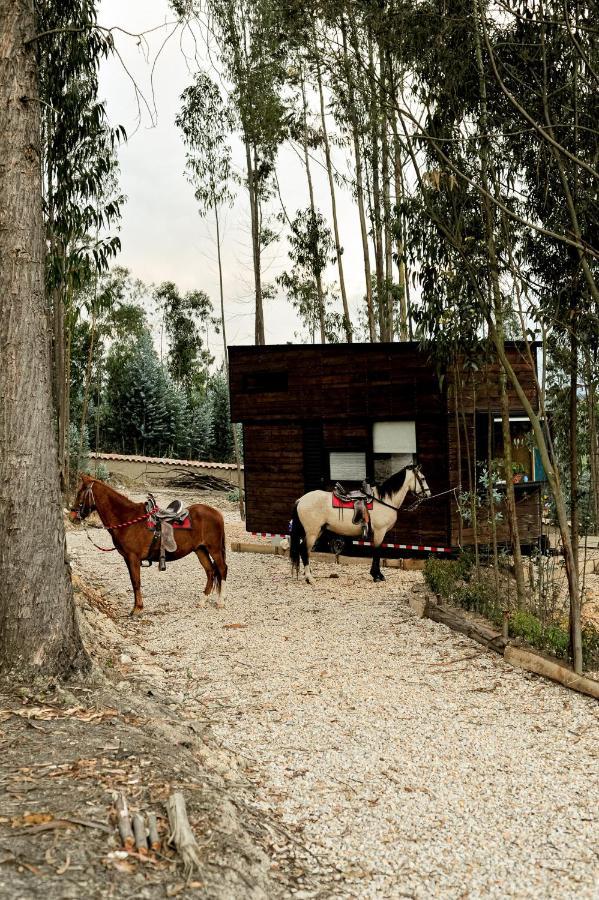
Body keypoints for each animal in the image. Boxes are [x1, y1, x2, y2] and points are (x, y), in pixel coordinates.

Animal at [70, 474, 229, 616]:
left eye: (79, 493)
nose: (72, 516)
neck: (128, 520)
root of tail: (216, 513)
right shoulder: (127, 559)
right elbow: (133, 582)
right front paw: (136, 607)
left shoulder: (133, 558)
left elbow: (136, 582)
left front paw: (137, 609)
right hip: (200, 550)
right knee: (210, 571)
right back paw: (203, 601)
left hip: (214, 549)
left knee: (222, 569)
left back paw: (220, 602)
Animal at [290, 464, 432, 584]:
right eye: (423, 478)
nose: (428, 494)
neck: (384, 500)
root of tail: (301, 500)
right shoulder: (380, 532)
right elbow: (377, 552)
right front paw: (377, 576)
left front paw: (377, 575)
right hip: (312, 532)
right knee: (304, 551)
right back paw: (310, 578)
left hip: (317, 531)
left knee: (305, 551)